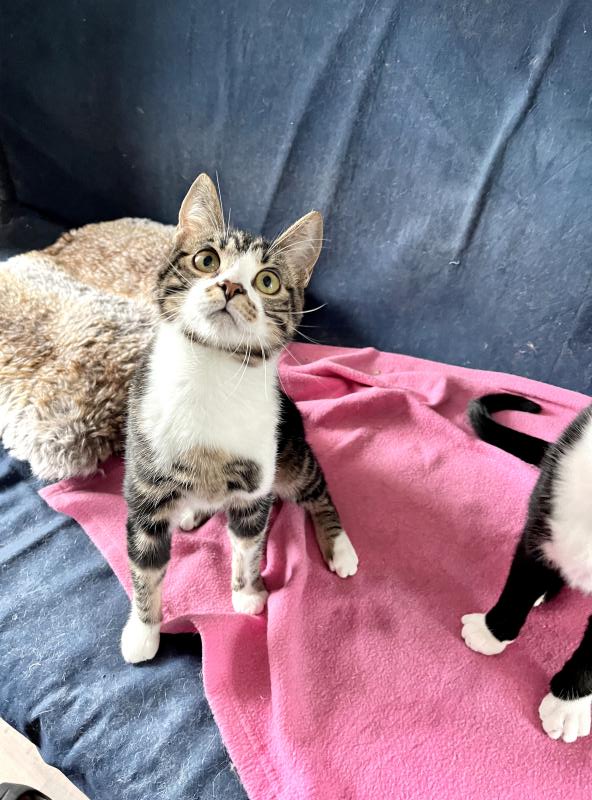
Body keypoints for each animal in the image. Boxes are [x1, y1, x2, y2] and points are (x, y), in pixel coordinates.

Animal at [120, 173, 359, 664]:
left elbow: (248, 546)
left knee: (316, 486)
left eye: (267, 281)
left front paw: (247, 593)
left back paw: (341, 547)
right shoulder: (145, 486)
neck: (211, 371)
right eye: (206, 259)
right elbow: (145, 566)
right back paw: (193, 512)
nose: (231, 286)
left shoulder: (256, 484)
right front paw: (143, 630)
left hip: (290, 448)